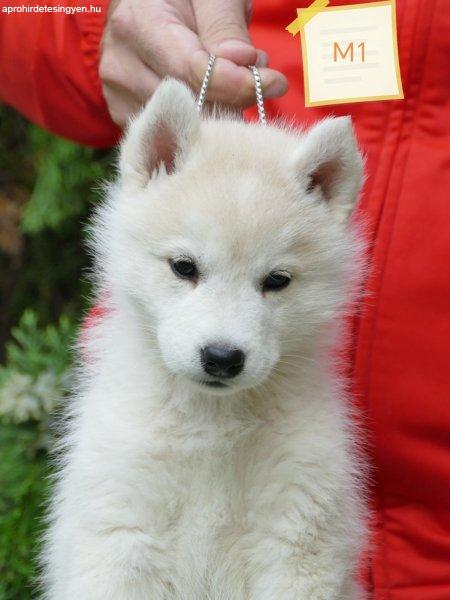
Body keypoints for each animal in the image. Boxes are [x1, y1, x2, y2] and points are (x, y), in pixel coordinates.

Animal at [42, 79, 368, 600]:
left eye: (277, 280)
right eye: (184, 267)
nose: (222, 357)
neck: (212, 423)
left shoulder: (296, 536)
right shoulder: (122, 531)